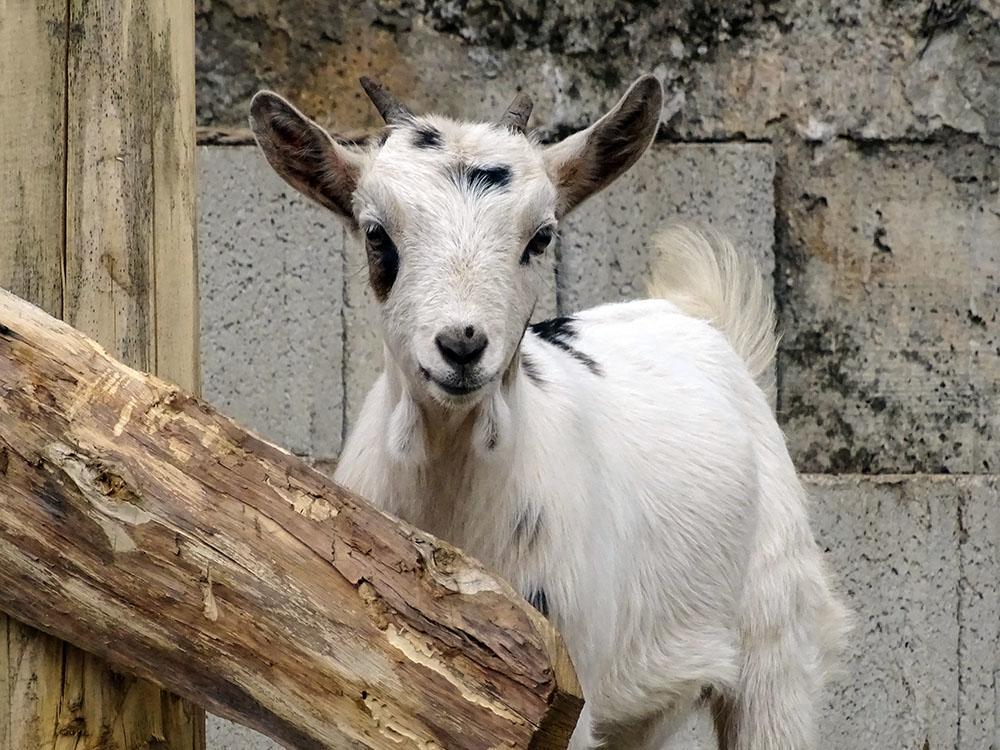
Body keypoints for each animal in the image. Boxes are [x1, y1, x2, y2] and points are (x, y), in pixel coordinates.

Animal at [252, 72, 852, 750]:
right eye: (376, 234)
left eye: (541, 237)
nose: (462, 344)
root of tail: (701, 319)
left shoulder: (566, 688)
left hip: (777, 637)